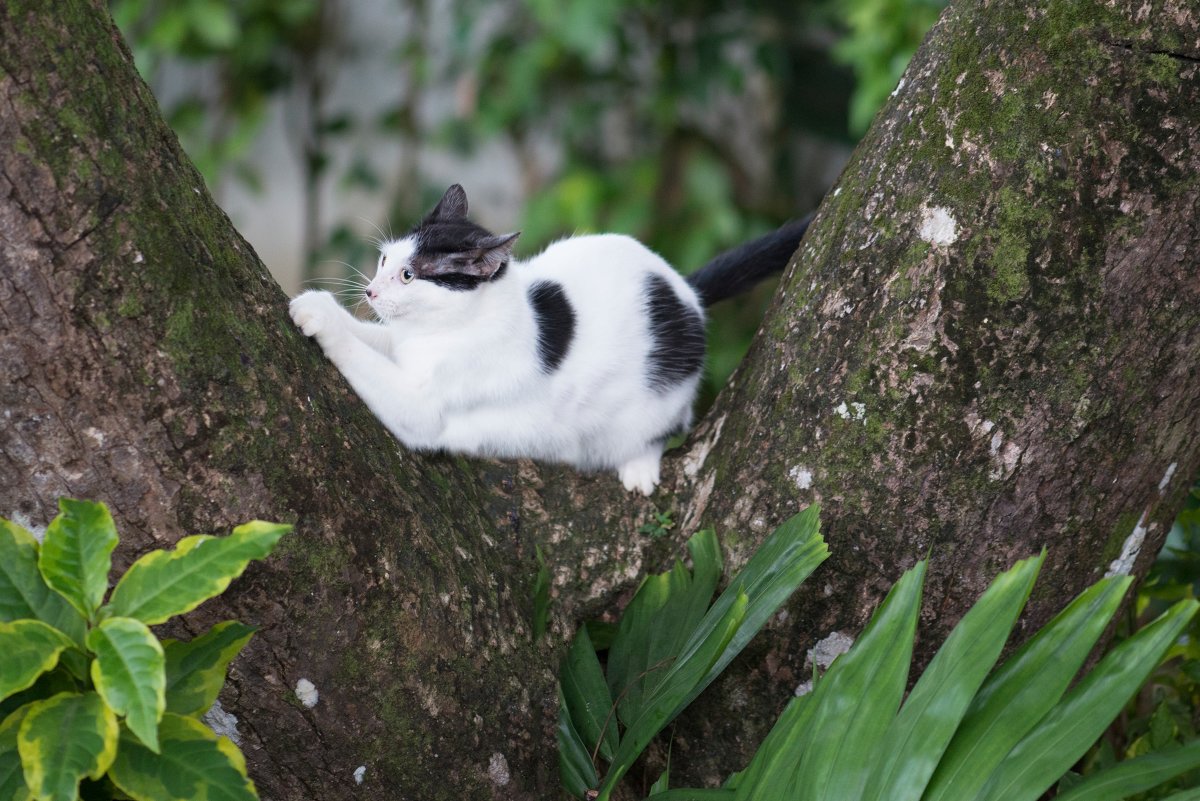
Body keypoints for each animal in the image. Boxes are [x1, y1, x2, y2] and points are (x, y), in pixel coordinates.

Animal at [289, 185, 806, 494]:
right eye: (383, 261)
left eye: (409, 275)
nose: (371, 291)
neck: (439, 330)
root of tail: (687, 294)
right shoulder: (400, 347)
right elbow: (371, 338)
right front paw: (324, 304)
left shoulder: (425, 409)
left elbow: (367, 363)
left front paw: (318, 315)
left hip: (654, 403)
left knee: (667, 425)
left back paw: (639, 467)